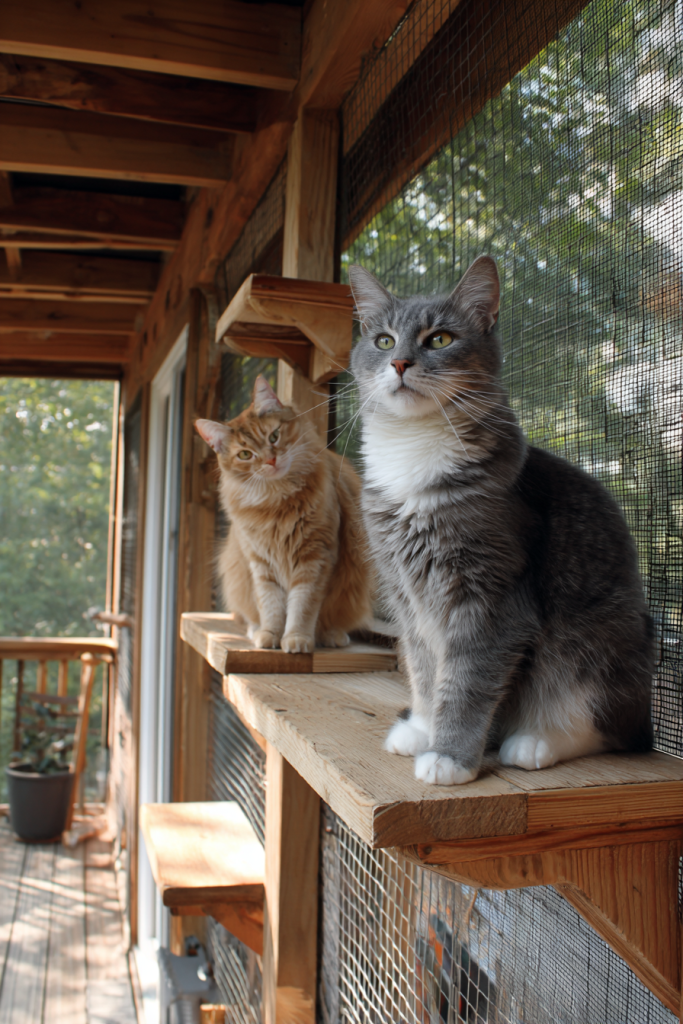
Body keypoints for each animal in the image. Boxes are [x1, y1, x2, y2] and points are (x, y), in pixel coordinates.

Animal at [195, 376, 372, 653]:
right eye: (245, 454)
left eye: (274, 436)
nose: (270, 461)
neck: (277, 501)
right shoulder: (261, 563)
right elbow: (271, 605)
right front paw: (270, 635)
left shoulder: (315, 556)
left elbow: (302, 606)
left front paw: (297, 638)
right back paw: (255, 629)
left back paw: (331, 635)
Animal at [349, 256, 654, 785]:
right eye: (383, 341)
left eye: (440, 339)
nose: (400, 362)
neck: (413, 452)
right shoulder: (408, 596)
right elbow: (426, 670)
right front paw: (424, 728)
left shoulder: (492, 598)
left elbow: (465, 681)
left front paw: (449, 755)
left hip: (596, 639)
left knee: (610, 726)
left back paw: (537, 739)